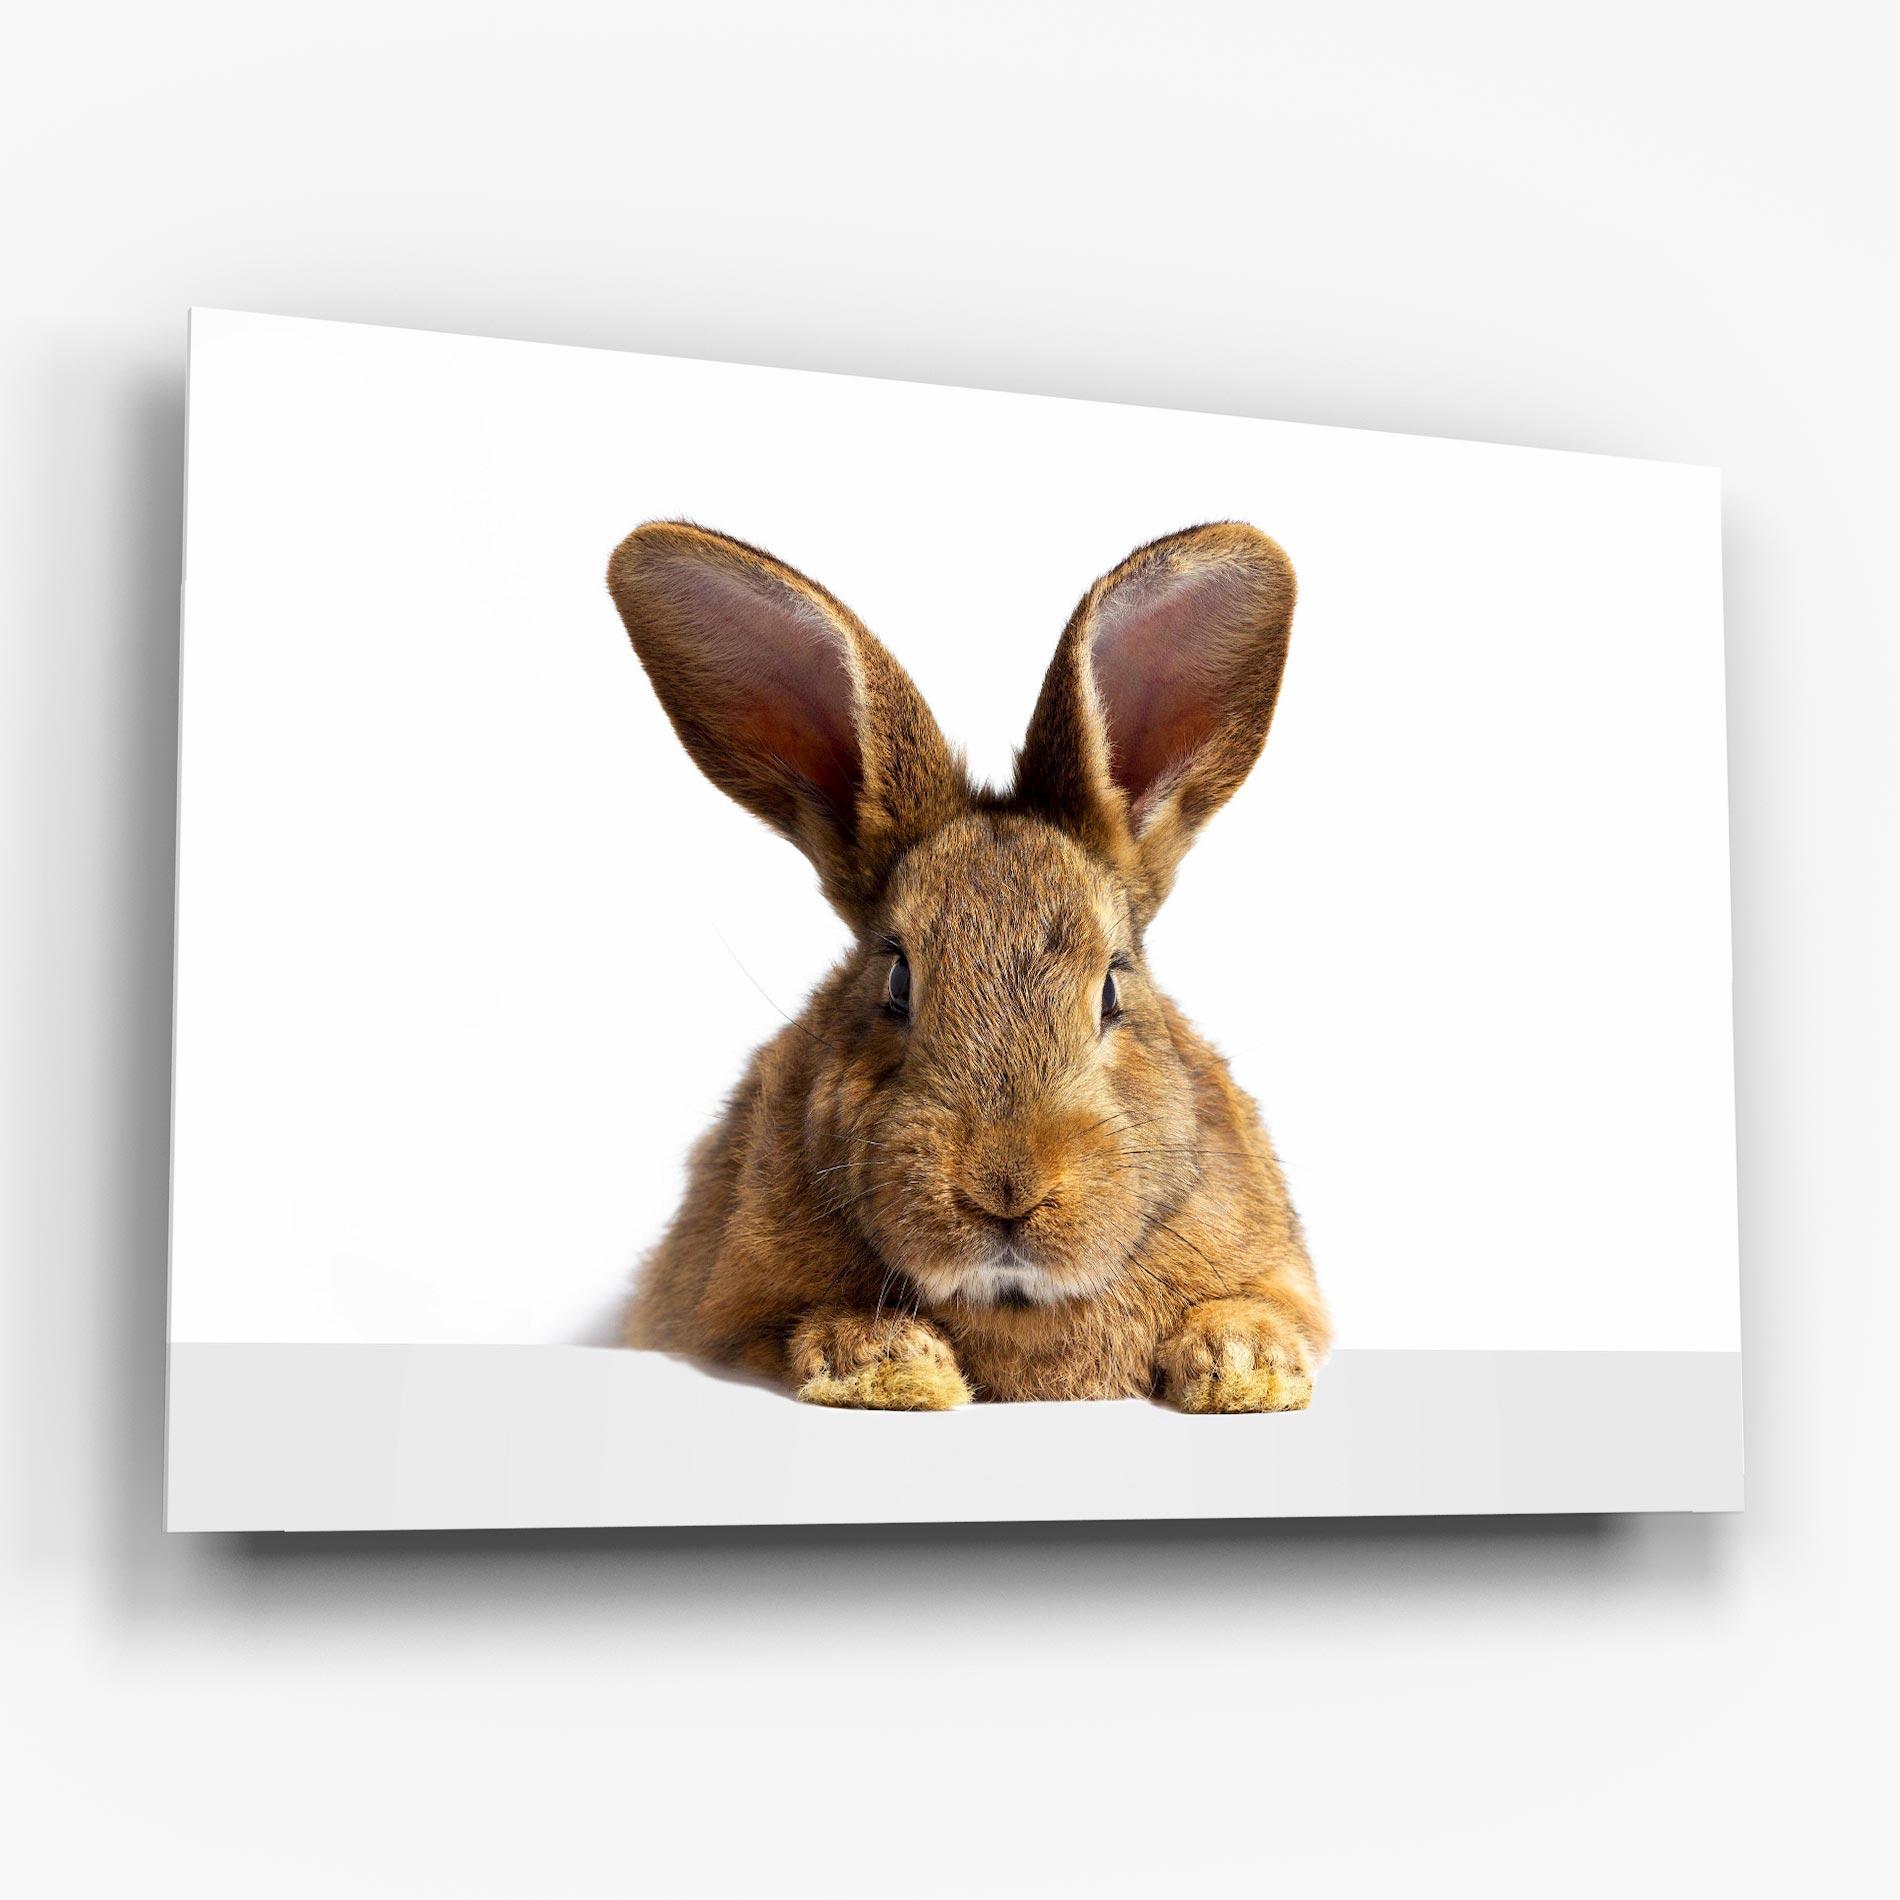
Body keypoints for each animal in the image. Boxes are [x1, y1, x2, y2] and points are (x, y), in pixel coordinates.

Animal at [607, 519, 1329, 1412]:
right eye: (896, 981)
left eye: (1112, 987)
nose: (1006, 1189)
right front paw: (889, 1363)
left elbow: (1257, 1309)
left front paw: (1246, 1365)